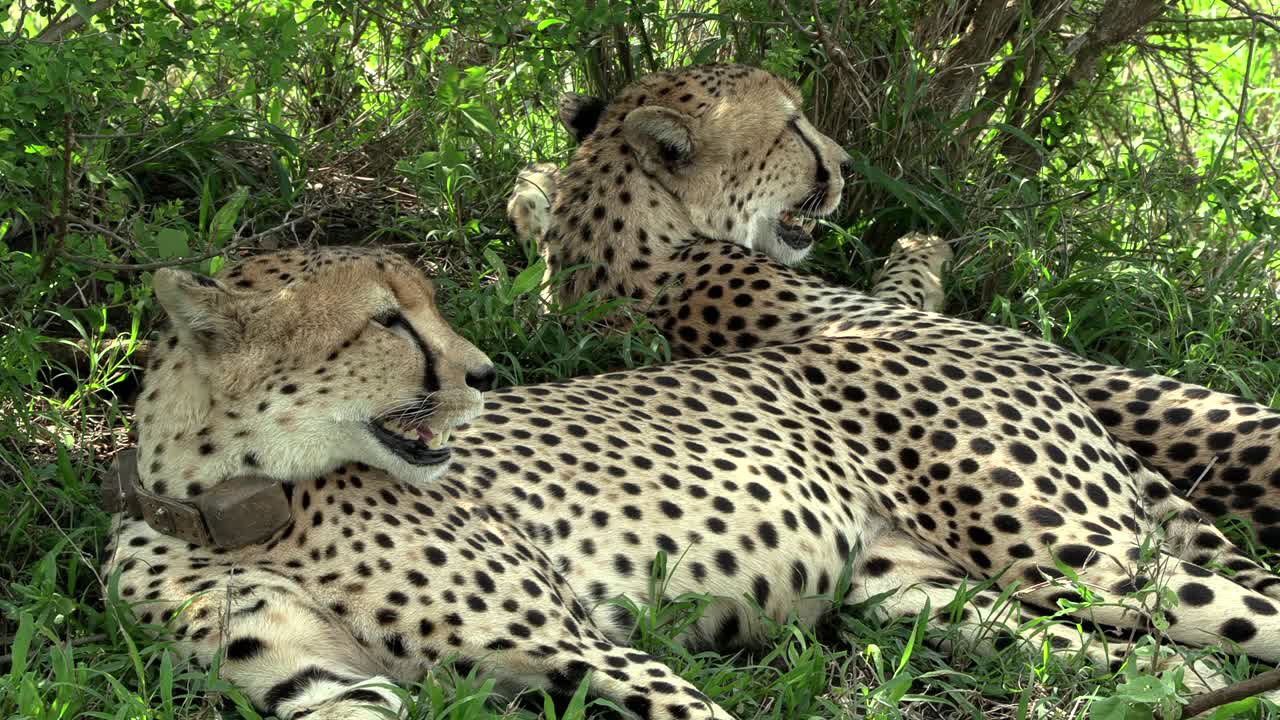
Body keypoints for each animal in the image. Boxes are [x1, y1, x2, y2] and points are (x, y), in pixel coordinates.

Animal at [103, 244, 1280, 720]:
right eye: (389, 323)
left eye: (423, 307)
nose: (484, 376)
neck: (238, 511)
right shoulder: (324, 688)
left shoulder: (580, 646)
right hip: (921, 596)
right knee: (1136, 660)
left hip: (1085, 555)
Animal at [515, 62, 1280, 553]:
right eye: (793, 127)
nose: (848, 163)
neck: (627, 238)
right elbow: (908, 286)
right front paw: (923, 243)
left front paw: (536, 185)